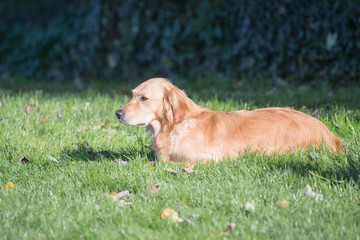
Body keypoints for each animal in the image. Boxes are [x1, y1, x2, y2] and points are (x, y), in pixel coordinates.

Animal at [116, 78, 344, 162]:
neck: (174, 127)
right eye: (132, 95)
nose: (118, 113)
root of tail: (330, 135)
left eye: (144, 98)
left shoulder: (206, 158)